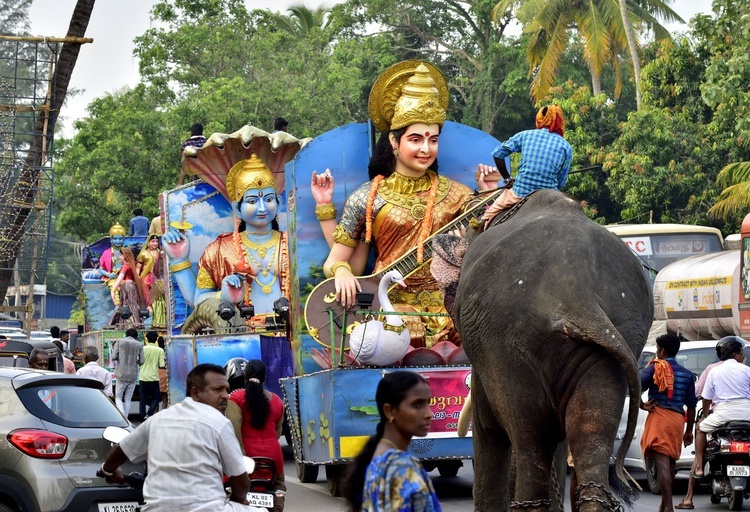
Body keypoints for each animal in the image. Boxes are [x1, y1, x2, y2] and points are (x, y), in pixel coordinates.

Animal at [450, 190, 656, 510]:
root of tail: (578, 294)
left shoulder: (485, 350)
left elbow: (489, 428)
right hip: (623, 335)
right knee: (591, 432)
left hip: (508, 342)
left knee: (530, 439)